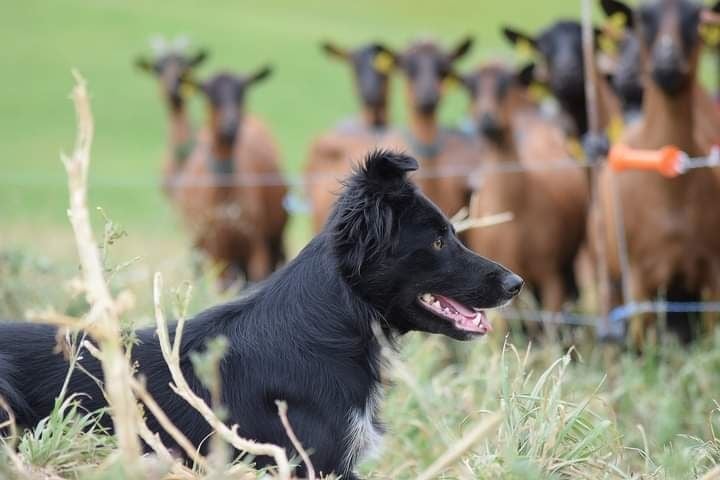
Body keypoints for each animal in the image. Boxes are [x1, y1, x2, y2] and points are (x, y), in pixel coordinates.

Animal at [588, 0, 720, 344]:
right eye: (643, 17)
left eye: (696, 17)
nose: (666, 62)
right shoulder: (638, 277)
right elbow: (641, 342)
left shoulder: (712, 273)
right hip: (609, 269)